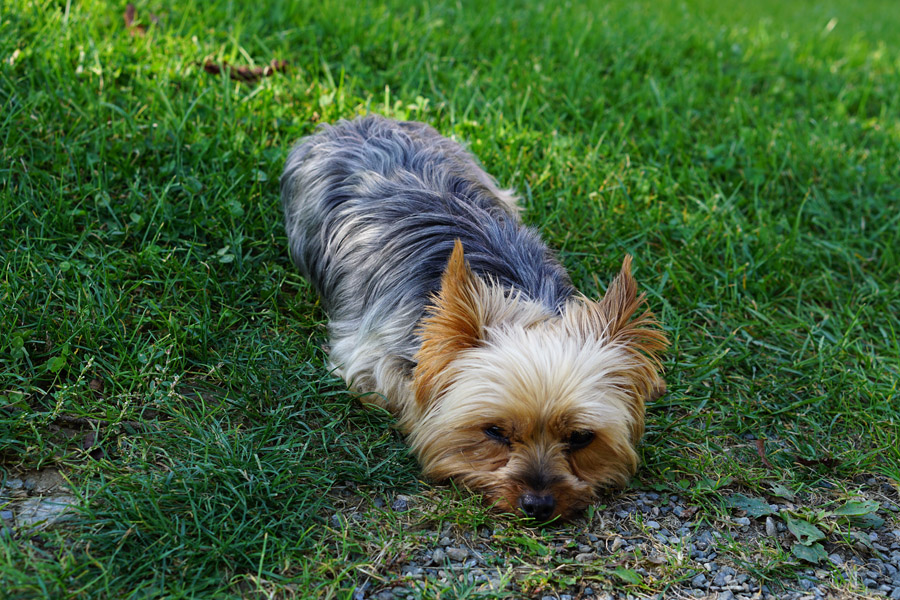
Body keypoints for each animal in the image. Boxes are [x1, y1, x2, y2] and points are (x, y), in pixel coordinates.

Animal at [282, 116, 668, 520]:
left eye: (580, 438)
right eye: (494, 431)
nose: (538, 505)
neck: (515, 296)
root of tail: (362, 120)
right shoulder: (368, 358)